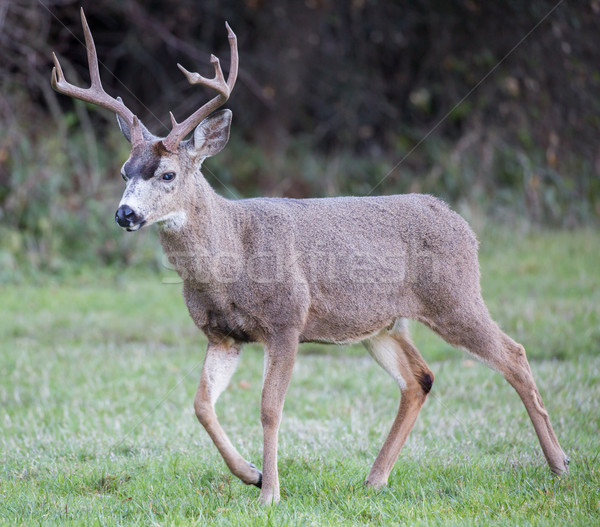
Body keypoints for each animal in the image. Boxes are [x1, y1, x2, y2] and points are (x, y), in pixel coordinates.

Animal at [50, 7, 568, 504]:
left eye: (168, 174)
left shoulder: (287, 319)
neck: (232, 257)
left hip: (454, 296)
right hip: (383, 323)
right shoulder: (222, 335)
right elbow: (201, 405)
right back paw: (373, 480)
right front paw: (251, 475)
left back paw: (559, 463)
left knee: (514, 355)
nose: (125, 213)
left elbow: (269, 408)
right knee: (419, 378)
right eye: (124, 170)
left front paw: (270, 494)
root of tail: (461, 223)